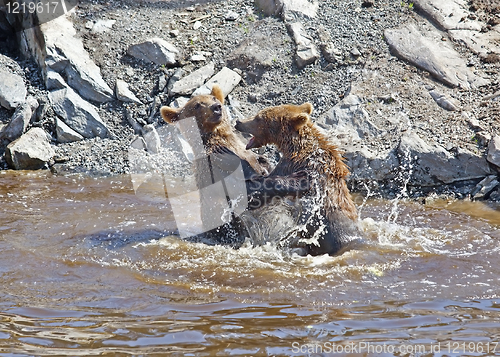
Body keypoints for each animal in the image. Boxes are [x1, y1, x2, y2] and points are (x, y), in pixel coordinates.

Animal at [159, 85, 304, 246]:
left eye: (213, 98)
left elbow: (263, 166)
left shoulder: (250, 156)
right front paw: (298, 180)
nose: (216, 107)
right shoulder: (217, 165)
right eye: (197, 105)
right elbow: (245, 193)